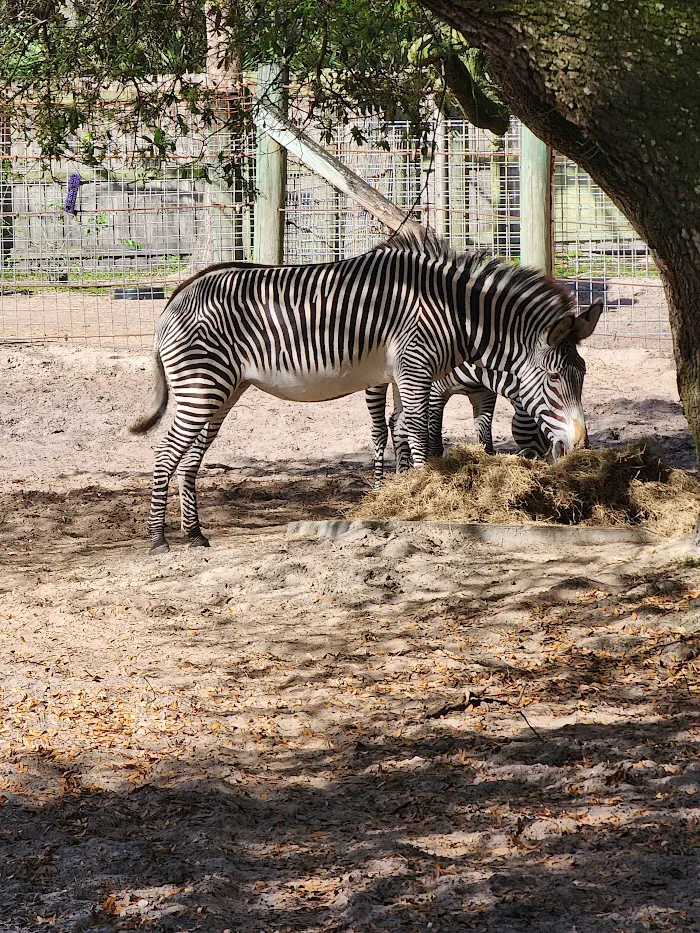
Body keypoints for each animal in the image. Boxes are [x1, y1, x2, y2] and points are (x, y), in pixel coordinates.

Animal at [130, 229, 600, 552]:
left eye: (583, 375)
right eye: (555, 380)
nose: (578, 446)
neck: (454, 312)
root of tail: (177, 295)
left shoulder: (406, 374)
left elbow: (408, 432)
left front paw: (407, 497)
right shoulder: (418, 368)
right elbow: (420, 435)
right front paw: (425, 502)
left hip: (223, 391)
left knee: (190, 458)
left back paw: (195, 535)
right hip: (201, 386)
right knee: (165, 453)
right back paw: (158, 540)